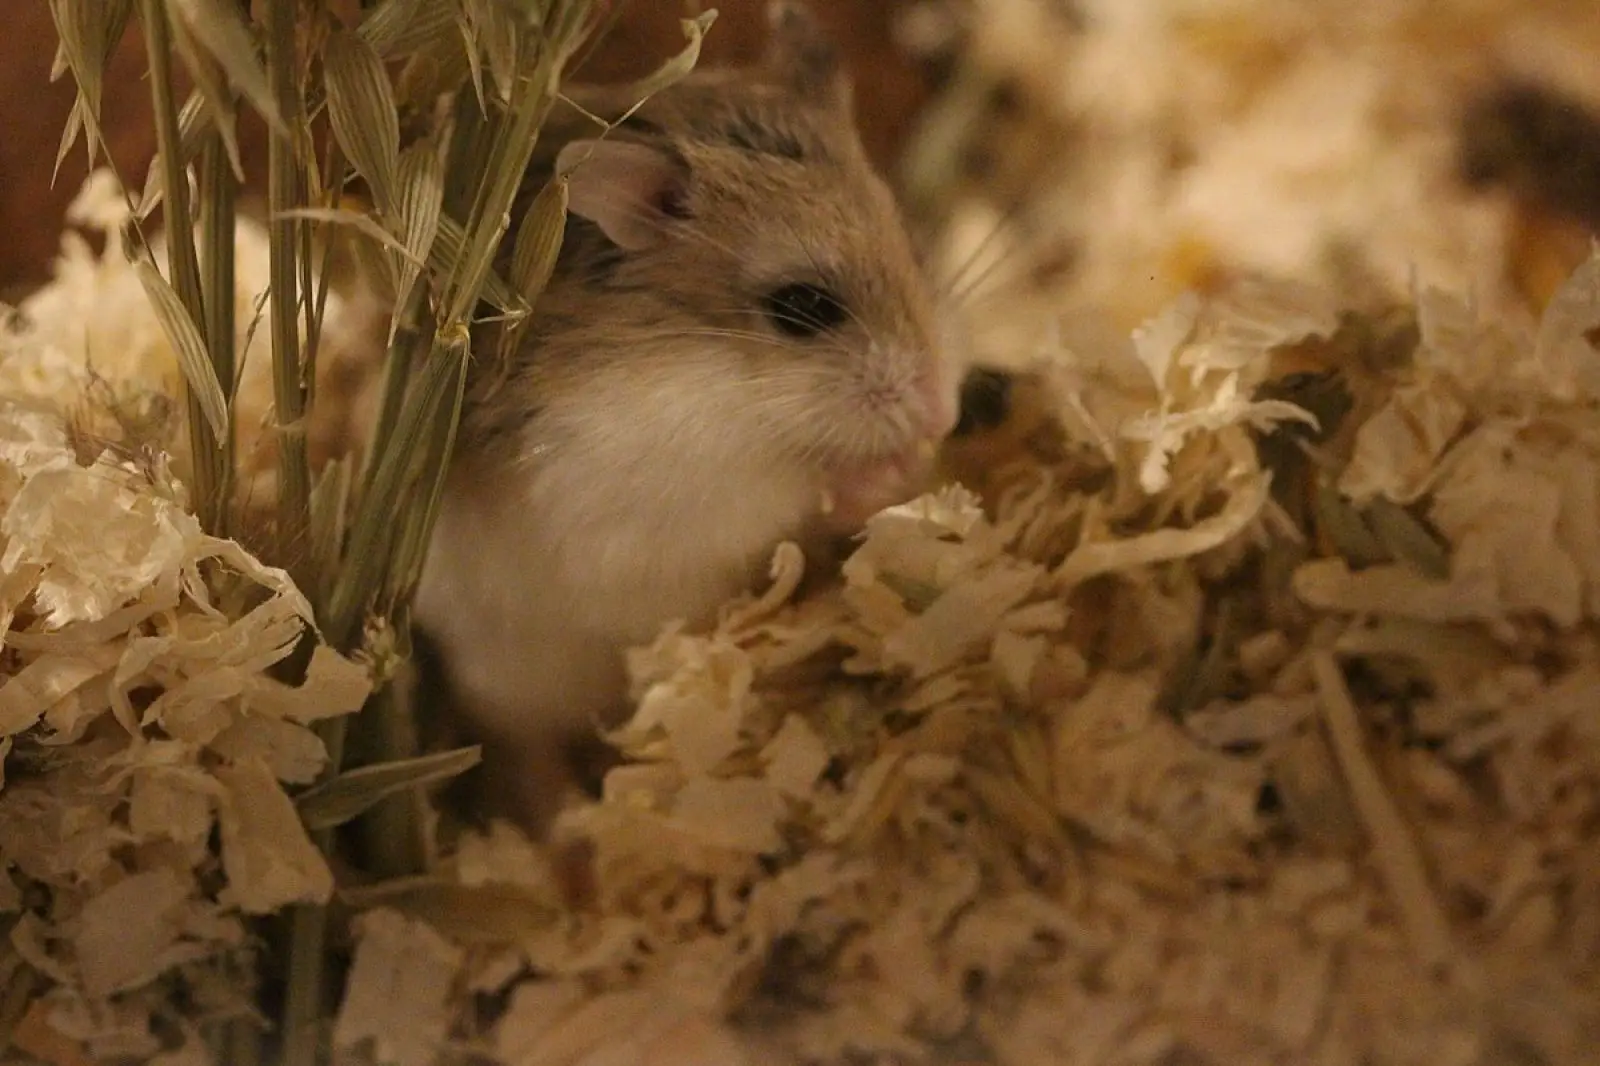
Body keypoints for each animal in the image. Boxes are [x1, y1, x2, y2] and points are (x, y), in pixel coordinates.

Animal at [413, 1, 962, 832]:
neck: (720, 378)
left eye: (909, 242)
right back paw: (565, 822)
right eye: (803, 308)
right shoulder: (662, 495)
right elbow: (792, 497)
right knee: (521, 746)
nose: (942, 413)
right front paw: (883, 470)